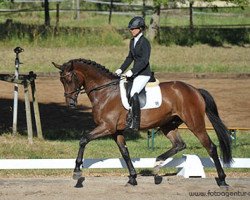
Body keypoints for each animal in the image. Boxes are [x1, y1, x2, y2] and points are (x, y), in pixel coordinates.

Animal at [52, 57, 232, 188]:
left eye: (70, 78)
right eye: (61, 80)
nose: (71, 104)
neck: (105, 92)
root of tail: (194, 90)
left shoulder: (106, 127)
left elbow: (83, 139)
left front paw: (77, 171)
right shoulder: (115, 131)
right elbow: (125, 152)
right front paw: (132, 178)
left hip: (195, 123)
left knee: (210, 147)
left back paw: (222, 180)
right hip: (168, 125)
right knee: (179, 144)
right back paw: (157, 164)